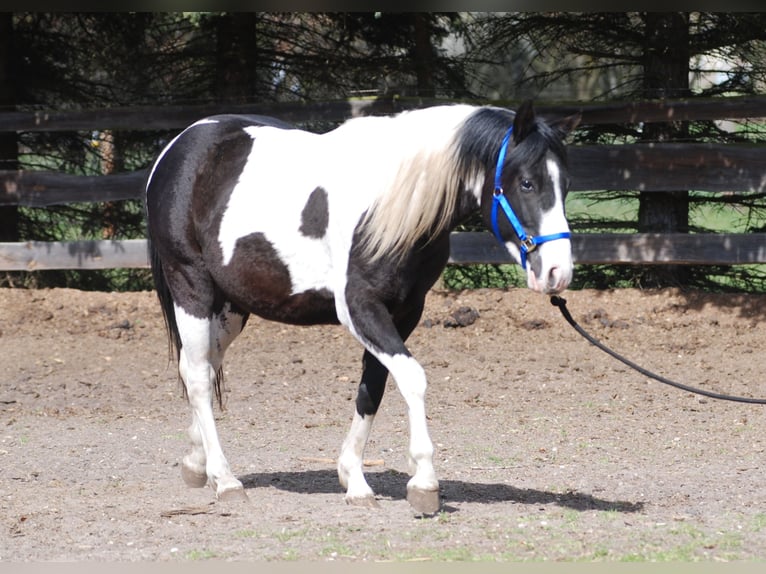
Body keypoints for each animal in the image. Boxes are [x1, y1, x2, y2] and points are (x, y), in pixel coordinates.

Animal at [145, 100, 580, 514]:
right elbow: (412, 378)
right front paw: (424, 482)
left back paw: (196, 462)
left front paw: (353, 479)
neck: (388, 205)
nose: (558, 272)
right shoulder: (359, 307)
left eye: (566, 186)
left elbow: (374, 387)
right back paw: (225, 480)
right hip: (192, 286)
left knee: (200, 366)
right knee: (199, 378)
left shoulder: (405, 312)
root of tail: (177, 147)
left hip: (231, 307)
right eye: (526, 182)